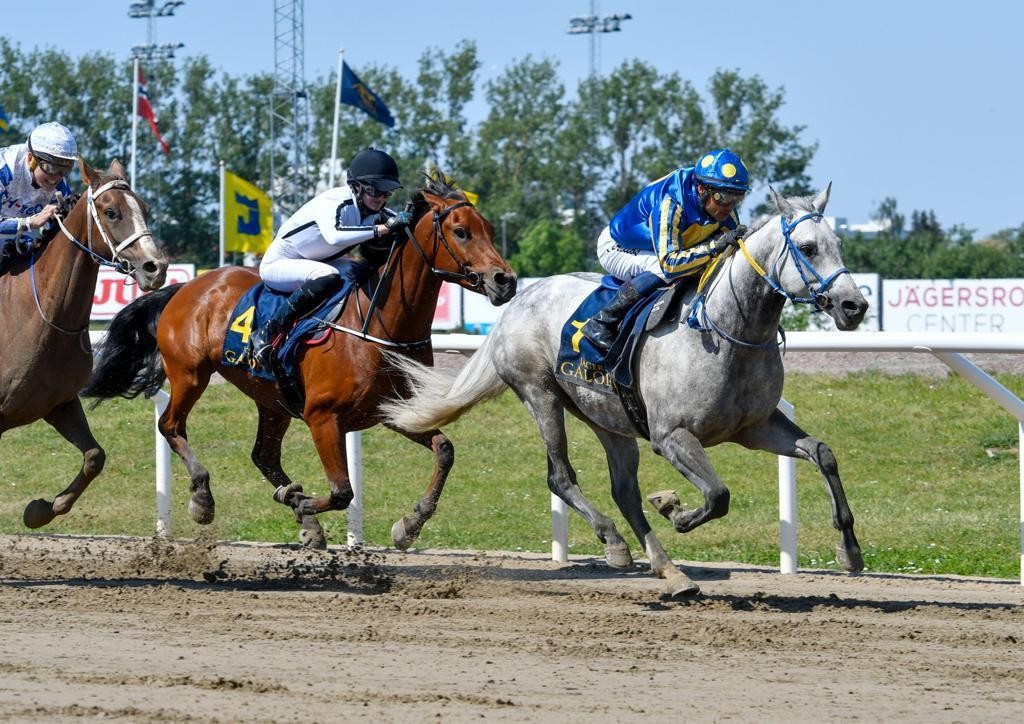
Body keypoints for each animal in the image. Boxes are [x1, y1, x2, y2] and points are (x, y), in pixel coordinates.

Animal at [0, 159, 167, 528]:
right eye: (111, 212)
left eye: (145, 208)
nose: (156, 267)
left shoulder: (58, 402)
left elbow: (95, 456)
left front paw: (41, 510)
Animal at [82, 173, 516, 548]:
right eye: (461, 232)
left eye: (490, 230)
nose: (505, 280)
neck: (380, 323)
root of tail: (185, 285)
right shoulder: (323, 418)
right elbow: (342, 491)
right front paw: (305, 503)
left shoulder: (393, 409)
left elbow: (445, 450)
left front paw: (409, 524)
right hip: (190, 374)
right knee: (171, 426)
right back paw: (204, 498)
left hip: (270, 398)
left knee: (263, 455)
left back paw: (297, 507)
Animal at [380, 188, 868, 602]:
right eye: (808, 248)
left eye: (839, 242)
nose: (855, 306)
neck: (727, 330)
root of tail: (520, 297)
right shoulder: (672, 436)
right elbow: (717, 495)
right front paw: (677, 511)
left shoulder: (756, 426)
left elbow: (822, 454)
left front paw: (850, 550)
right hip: (541, 393)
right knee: (561, 477)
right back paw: (616, 542)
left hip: (609, 418)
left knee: (625, 492)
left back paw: (671, 572)